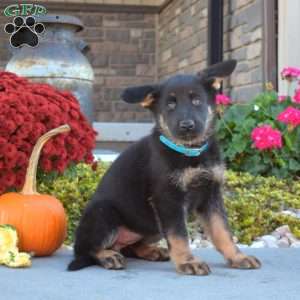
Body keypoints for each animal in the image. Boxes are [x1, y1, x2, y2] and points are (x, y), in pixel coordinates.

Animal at [67, 59, 260, 276]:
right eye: (170, 104)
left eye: (196, 101)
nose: (187, 125)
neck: (189, 152)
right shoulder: (168, 199)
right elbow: (179, 235)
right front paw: (187, 262)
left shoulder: (211, 194)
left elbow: (222, 231)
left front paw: (238, 257)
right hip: (104, 213)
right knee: (86, 249)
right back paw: (108, 256)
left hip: (152, 225)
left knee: (131, 247)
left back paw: (152, 251)